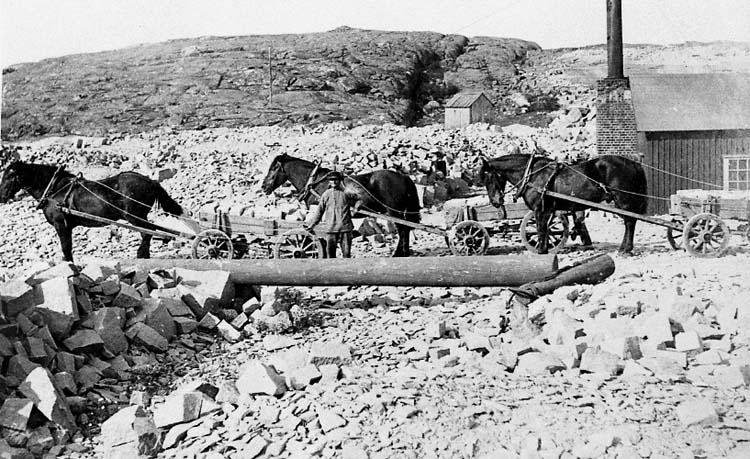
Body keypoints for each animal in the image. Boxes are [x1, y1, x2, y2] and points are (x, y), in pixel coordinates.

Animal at [0, 161, 184, 262]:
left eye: (9, 176)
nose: (1, 197)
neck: (55, 189)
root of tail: (151, 181)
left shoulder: (61, 225)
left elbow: (66, 248)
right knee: (148, 232)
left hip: (135, 216)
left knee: (148, 232)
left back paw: (141, 255)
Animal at [261, 154, 421, 257]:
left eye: (274, 168)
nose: (264, 187)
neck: (315, 182)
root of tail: (404, 177)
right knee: (405, 230)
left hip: (395, 212)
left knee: (403, 230)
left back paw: (399, 253)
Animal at [479, 153, 647, 254]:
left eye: (488, 178)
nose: (495, 202)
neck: (533, 175)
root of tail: (633, 163)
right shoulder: (547, 210)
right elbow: (545, 230)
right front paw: (545, 249)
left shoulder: (540, 210)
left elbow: (541, 230)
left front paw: (541, 251)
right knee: (629, 222)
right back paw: (623, 247)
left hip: (624, 200)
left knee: (630, 222)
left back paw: (626, 249)